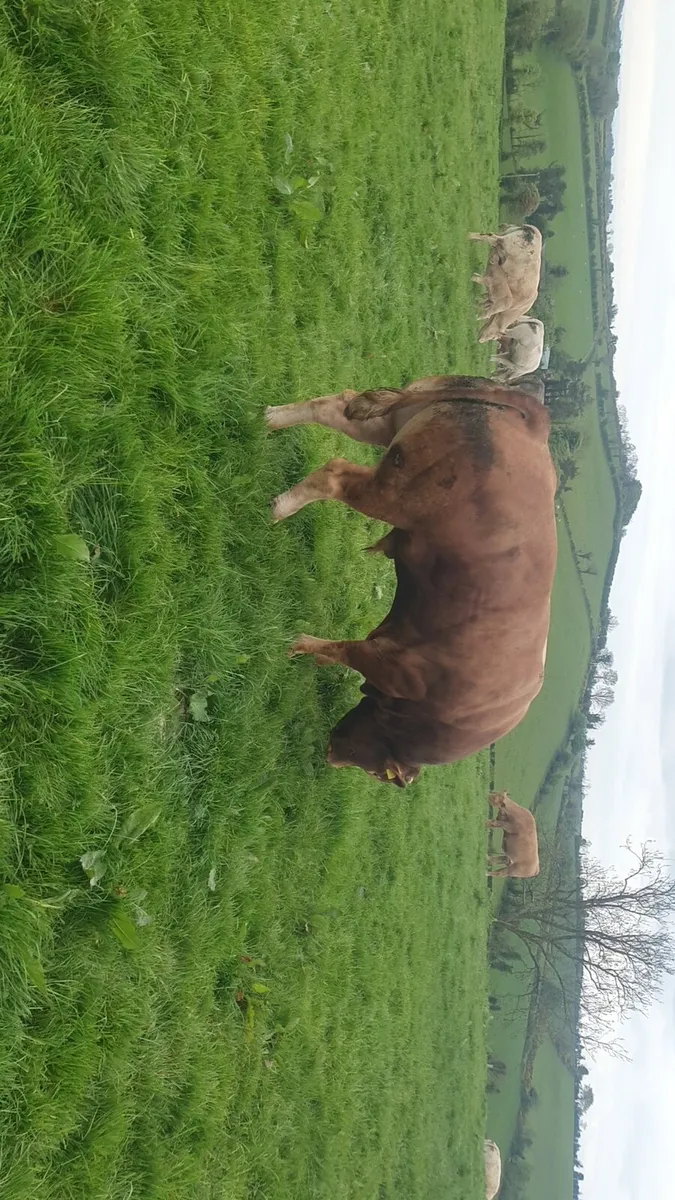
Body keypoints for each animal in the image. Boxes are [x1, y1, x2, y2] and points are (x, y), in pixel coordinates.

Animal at [265, 375, 557, 785]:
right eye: (378, 773)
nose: (330, 757)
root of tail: (533, 420)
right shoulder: (393, 667)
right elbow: (344, 649)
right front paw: (298, 644)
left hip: (393, 428)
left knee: (334, 407)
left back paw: (270, 418)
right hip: (394, 494)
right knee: (334, 474)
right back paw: (279, 508)